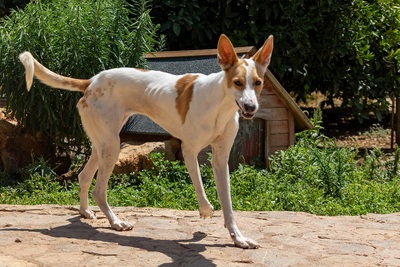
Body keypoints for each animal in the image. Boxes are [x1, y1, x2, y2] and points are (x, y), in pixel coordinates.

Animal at [20, 34, 274, 249]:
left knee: (83, 177)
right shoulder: (189, 150)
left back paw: (85, 212)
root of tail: (91, 81)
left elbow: (228, 206)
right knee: (99, 190)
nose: (251, 107)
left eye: (258, 82)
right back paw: (116, 222)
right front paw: (205, 211)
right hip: (112, 147)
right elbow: (201, 189)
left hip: (101, 145)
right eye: (238, 82)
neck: (220, 105)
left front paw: (238, 238)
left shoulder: (221, 159)